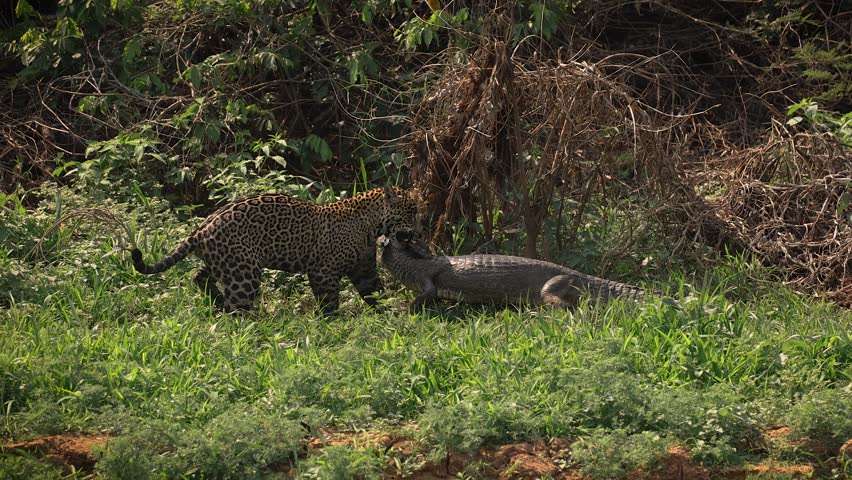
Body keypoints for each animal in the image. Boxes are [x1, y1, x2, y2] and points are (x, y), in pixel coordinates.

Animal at [131, 186, 420, 314]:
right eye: (411, 212)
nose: (418, 232)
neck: (371, 224)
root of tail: (201, 229)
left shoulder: (364, 269)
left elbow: (376, 293)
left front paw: (389, 316)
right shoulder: (323, 271)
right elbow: (329, 301)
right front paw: (334, 324)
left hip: (224, 264)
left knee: (199, 277)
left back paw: (217, 301)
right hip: (243, 274)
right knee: (237, 309)